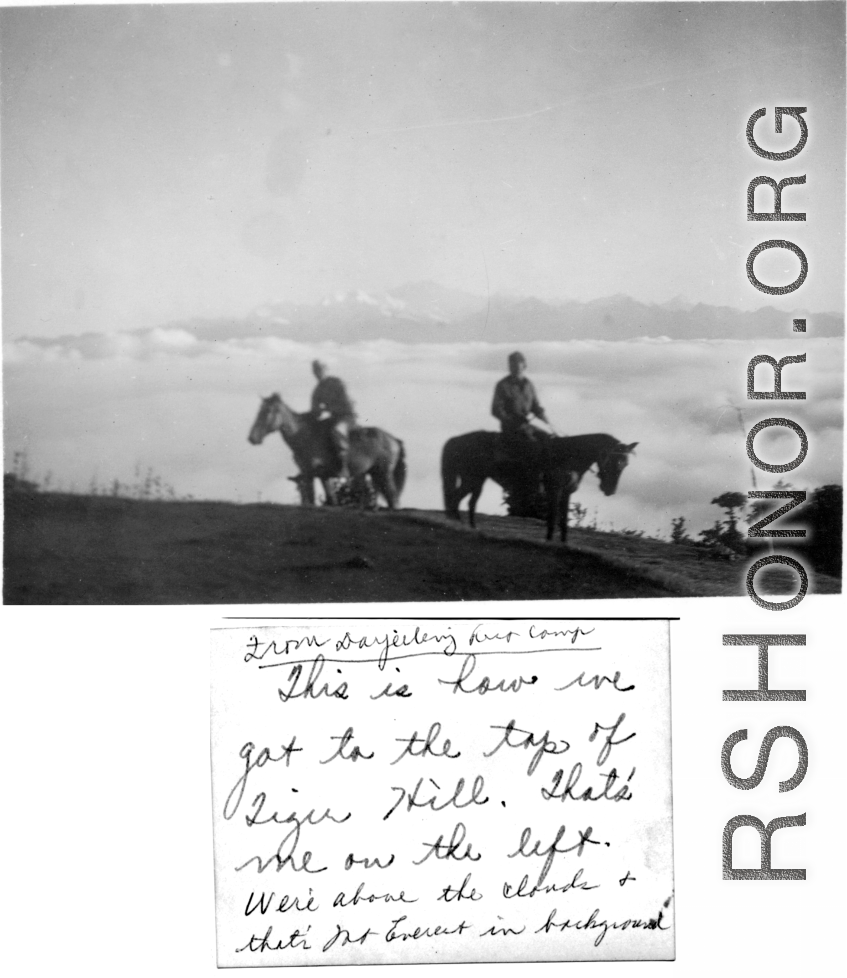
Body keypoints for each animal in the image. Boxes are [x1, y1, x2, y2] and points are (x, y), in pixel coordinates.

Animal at [248, 390, 408, 508]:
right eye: (259, 411)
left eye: (267, 411)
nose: (252, 438)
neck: (305, 436)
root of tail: (393, 439)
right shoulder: (322, 476)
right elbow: (331, 501)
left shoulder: (309, 474)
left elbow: (312, 500)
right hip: (374, 474)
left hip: (384, 474)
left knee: (393, 500)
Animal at [444, 432, 636, 544]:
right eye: (612, 460)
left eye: (625, 464)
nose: (610, 490)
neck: (569, 456)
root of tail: (456, 440)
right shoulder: (554, 491)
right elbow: (553, 517)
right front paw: (549, 541)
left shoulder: (566, 493)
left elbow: (563, 520)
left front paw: (564, 543)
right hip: (472, 479)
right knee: (456, 499)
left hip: (475, 480)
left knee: (462, 501)